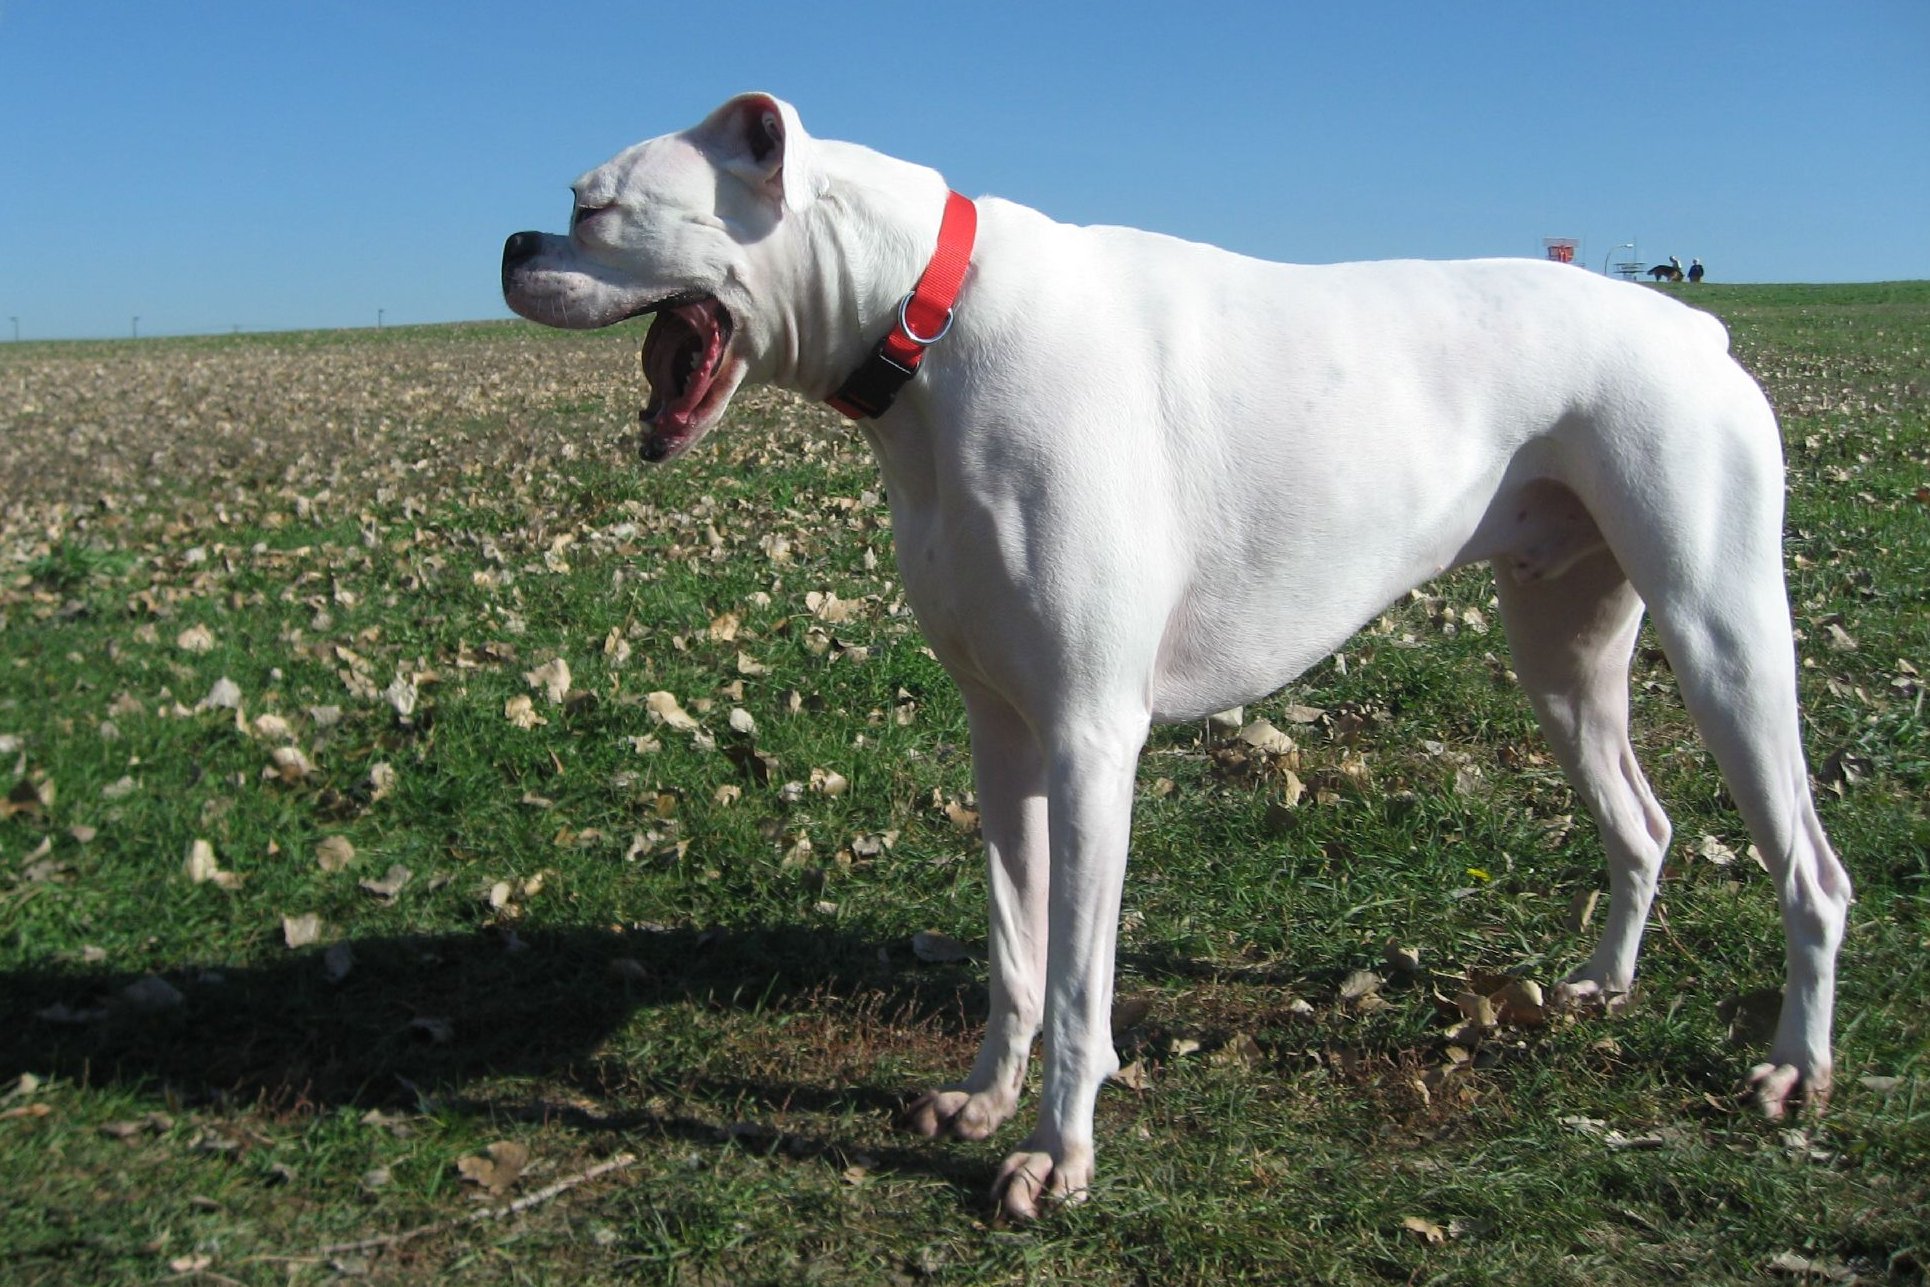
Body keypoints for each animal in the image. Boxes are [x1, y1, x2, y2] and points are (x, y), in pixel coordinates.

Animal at [501, 90, 1852, 1219]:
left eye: (595, 206)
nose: (512, 244)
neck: (934, 318)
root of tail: (1694, 324)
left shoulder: (1093, 745)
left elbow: (1078, 985)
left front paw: (1056, 1154)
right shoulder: (1003, 739)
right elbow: (1014, 952)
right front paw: (986, 1097)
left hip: (1726, 644)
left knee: (1811, 875)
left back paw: (1794, 1069)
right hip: (1564, 665)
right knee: (1644, 825)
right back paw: (1603, 987)